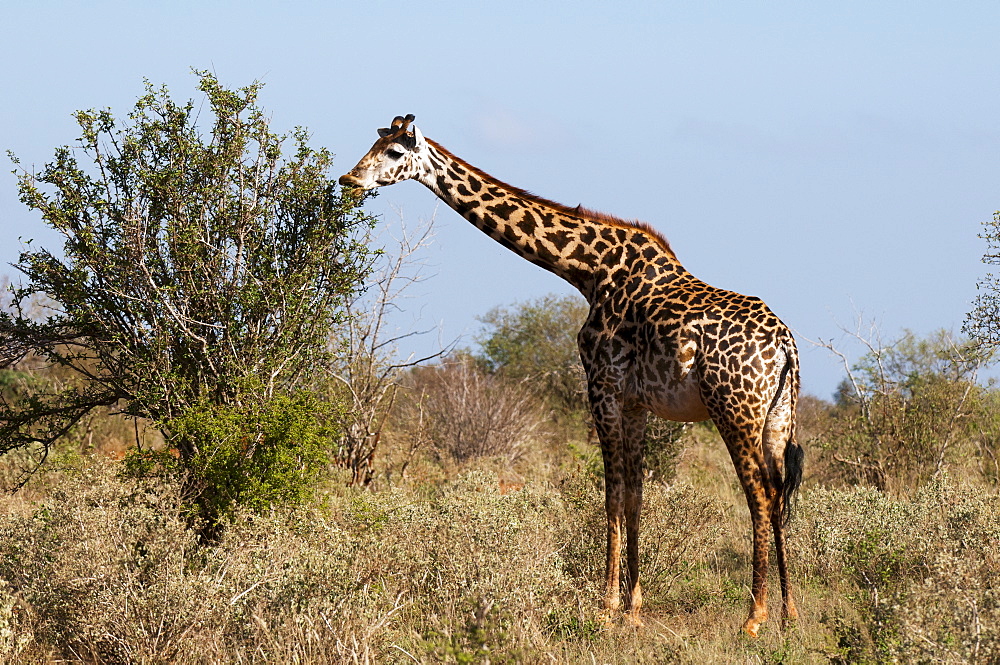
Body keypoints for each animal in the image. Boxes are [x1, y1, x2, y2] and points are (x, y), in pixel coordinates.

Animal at [342, 115, 804, 640]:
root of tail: (785, 345)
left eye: (395, 152)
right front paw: (633, 608)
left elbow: (611, 496)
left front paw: (606, 607)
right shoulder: (635, 402)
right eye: (375, 142)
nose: (349, 179)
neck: (588, 270)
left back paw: (754, 617)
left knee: (759, 494)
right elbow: (635, 496)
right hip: (777, 416)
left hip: (734, 409)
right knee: (779, 492)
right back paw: (788, 612)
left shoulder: (600, 385)